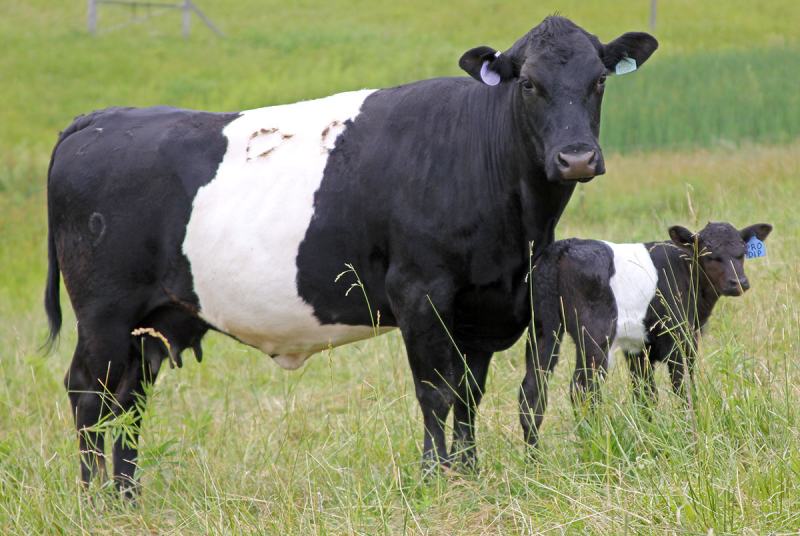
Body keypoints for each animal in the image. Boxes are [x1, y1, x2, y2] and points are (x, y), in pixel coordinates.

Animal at [42, 15, 656, 494]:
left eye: (599, 80)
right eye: (528, 83)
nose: (576, 157)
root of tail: (100, 118)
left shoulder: (485, 304)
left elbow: (469, 394)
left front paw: (469, 472)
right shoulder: (420, 291)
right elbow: (435, 391)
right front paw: (435, 479)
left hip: (151, 323)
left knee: (128, 400)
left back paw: (127, 496)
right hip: (103, 312)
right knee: (87, 391)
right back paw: (94, 500)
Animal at [520, 222, 772, 448]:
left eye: (742, 253)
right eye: (709, 255)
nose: (738, 282)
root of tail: (563, 247)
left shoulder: (638, 348)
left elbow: (645, 396)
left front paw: (649, 436)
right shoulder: (682, 338)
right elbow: (684, 389)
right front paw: (689, 434)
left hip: (543, 327)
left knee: (532, 392)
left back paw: (534, 460)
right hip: (594, 336)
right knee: (583, 389)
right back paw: (593, 443)